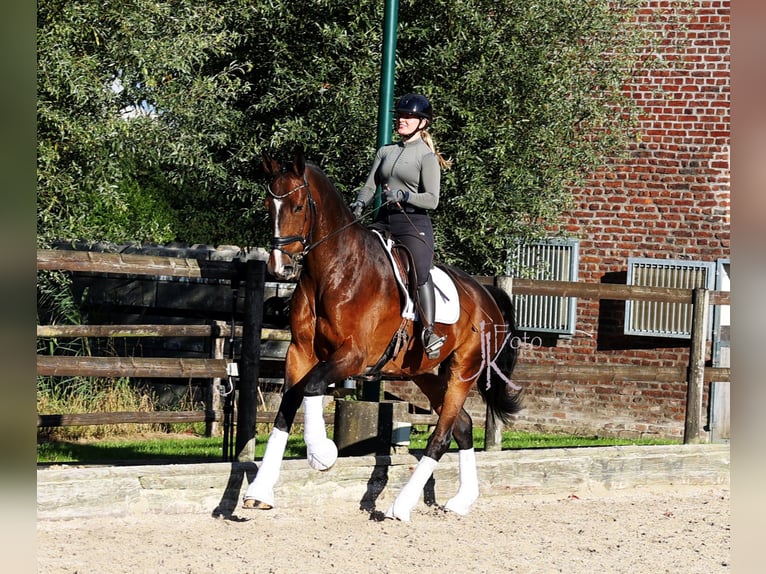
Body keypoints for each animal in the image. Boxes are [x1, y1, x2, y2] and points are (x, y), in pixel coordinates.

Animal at [243, 148, 524, 520]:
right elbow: (287, 407)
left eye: (299, 207)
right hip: (423, 373)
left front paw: (322, 453)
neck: (333, 270)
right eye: (267, 206)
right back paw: (462, 500)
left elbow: (313, 387)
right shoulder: (300, 352)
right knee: (463, 426)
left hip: (462, 371)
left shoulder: (354, 355)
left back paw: (400, 506)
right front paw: (258, 492)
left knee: (441, 436)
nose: (281, 268)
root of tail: (486, 295)